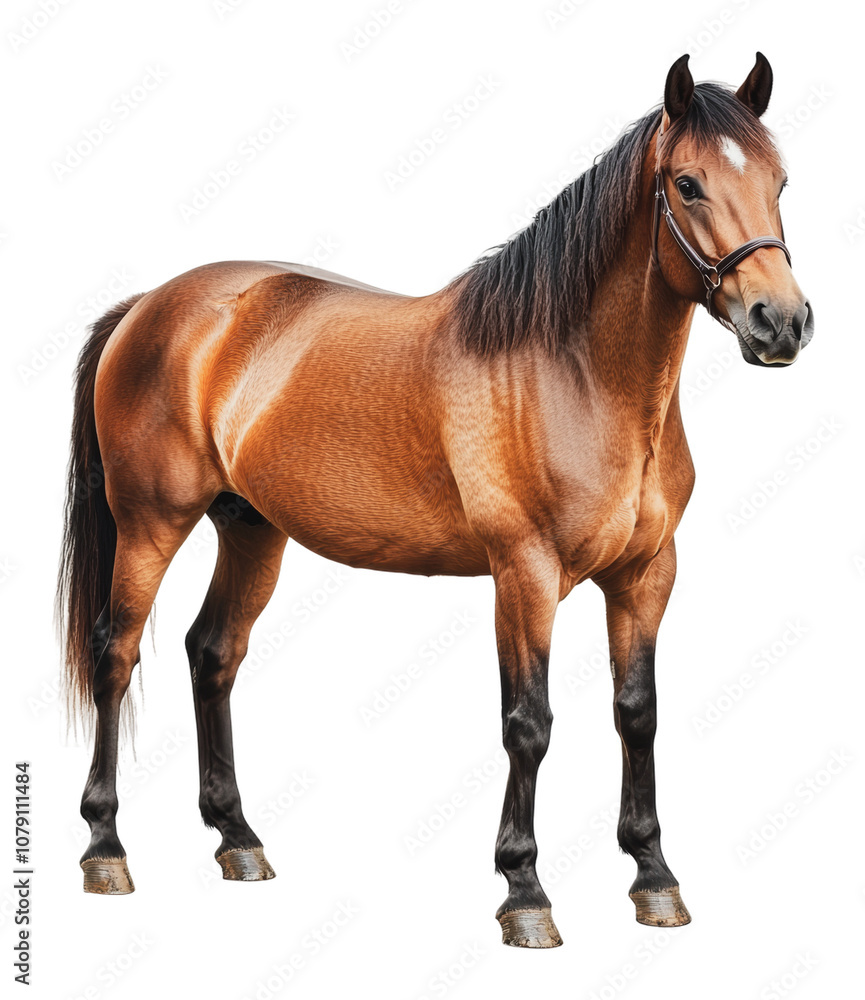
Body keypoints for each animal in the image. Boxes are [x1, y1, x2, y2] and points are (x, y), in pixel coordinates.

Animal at [58, 52, 813, 947]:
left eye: (778, 181)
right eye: (688, 184)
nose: (781, 323)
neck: (577, 376)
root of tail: (147, 306)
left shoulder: (644, 576)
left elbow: (637, 713)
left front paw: (653, 879)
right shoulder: (524, 575)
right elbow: (528, 723)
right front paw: (524, 892)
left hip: (251, 531)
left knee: (212, 653)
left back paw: (238, 839)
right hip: (150, 524)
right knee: (114, 655)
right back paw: (105, 848)